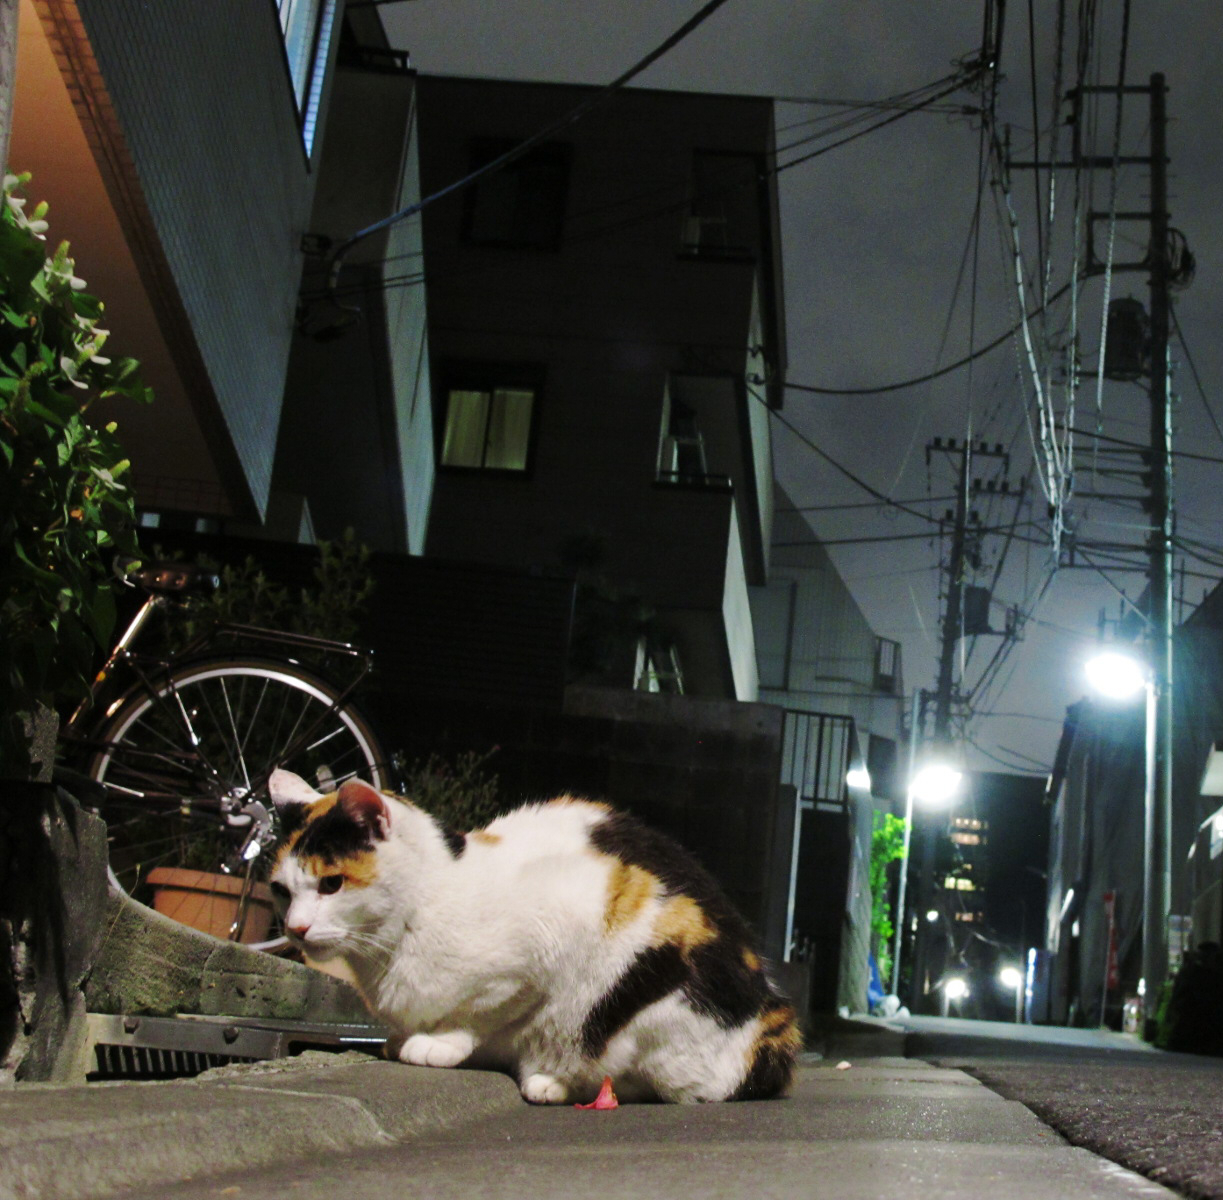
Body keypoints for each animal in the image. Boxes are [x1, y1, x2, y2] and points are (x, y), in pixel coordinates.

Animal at [267, 770, 801, 1104]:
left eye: (331, 883)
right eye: (280, 890)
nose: (295, 927)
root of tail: (774, 1010)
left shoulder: (554, 928)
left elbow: (481, 1011)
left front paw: (438, 1044)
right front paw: (403, 1039)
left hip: (653, 1001)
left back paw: (553, 1079)